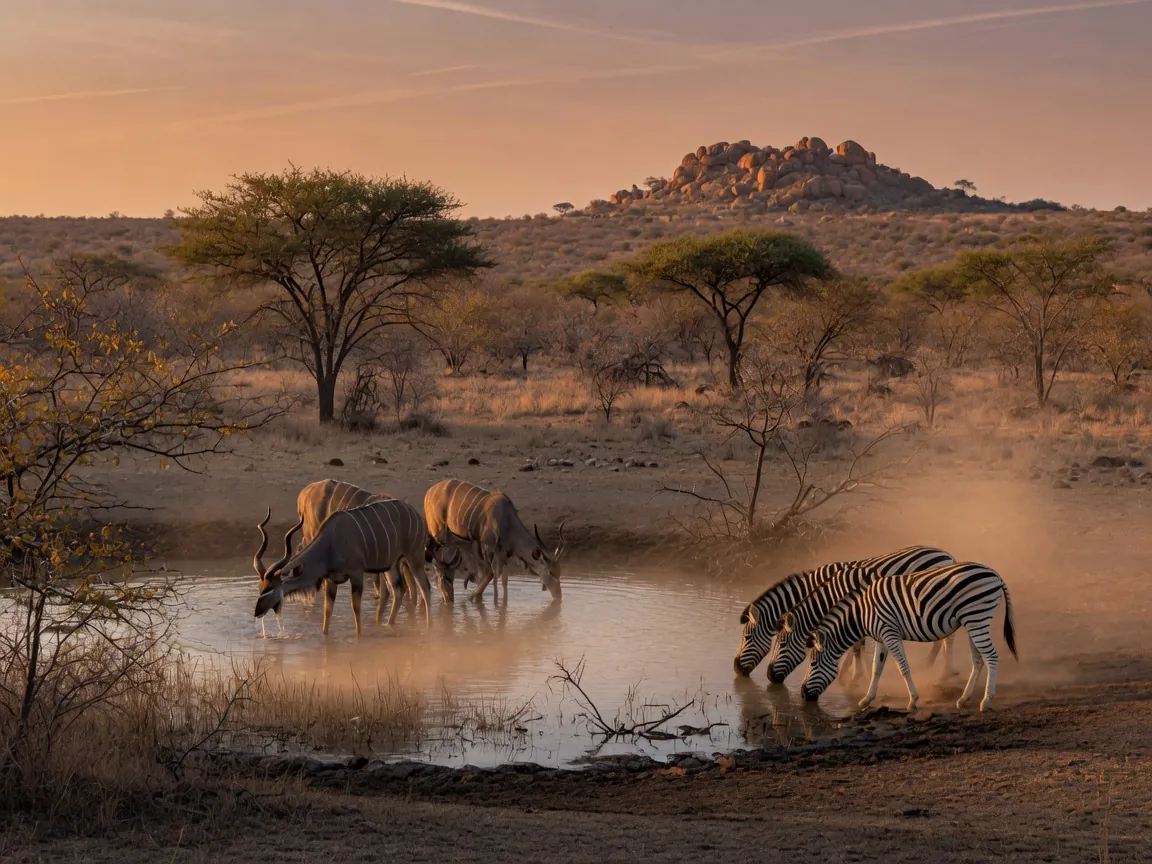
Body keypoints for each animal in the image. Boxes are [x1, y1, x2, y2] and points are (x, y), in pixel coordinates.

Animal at [253, 480, 461, 635]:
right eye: (261, 587)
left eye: (270, 588)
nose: (257, 612)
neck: (330, 544)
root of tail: (417, 516)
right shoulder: (331, 580)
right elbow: (327, 612)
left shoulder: (356, 574)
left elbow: (356, 608)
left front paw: (359, 638)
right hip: (391, 565)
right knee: (398, 589)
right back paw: (388, 625)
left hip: (413, 557)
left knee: (424, 587)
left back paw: (428, 627)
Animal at [424, 479, 565, 603]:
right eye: (551, 573)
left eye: (559, 573)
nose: (559, 595)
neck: (507, 520)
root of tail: (429, 492)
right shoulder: (488, 548)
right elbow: (492, 576)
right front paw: (481, 600)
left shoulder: (505, 553)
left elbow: (503, 580)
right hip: (437, 533)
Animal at [734, 545, 956, 679]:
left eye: (747, 637)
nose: (736, 668)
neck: (825, 593)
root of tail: (947, 554)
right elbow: (854, 643)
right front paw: (853, 670)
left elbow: (855, 644)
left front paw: (855, 674)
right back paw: (930, 663)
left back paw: (943, 672)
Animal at [800, 562, 1017, 712]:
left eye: (812, 664)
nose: (802, 695)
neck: (861, 614)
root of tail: (995, 574)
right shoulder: (881, 636)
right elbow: (876, 667)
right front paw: (867, 699)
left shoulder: (890, 633)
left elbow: (902, 667)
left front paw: (912, 701)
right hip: (973, 622)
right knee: (978, 660)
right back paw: (964, 699)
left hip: (977, 618)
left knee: (991, 657)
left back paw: (986, 701)